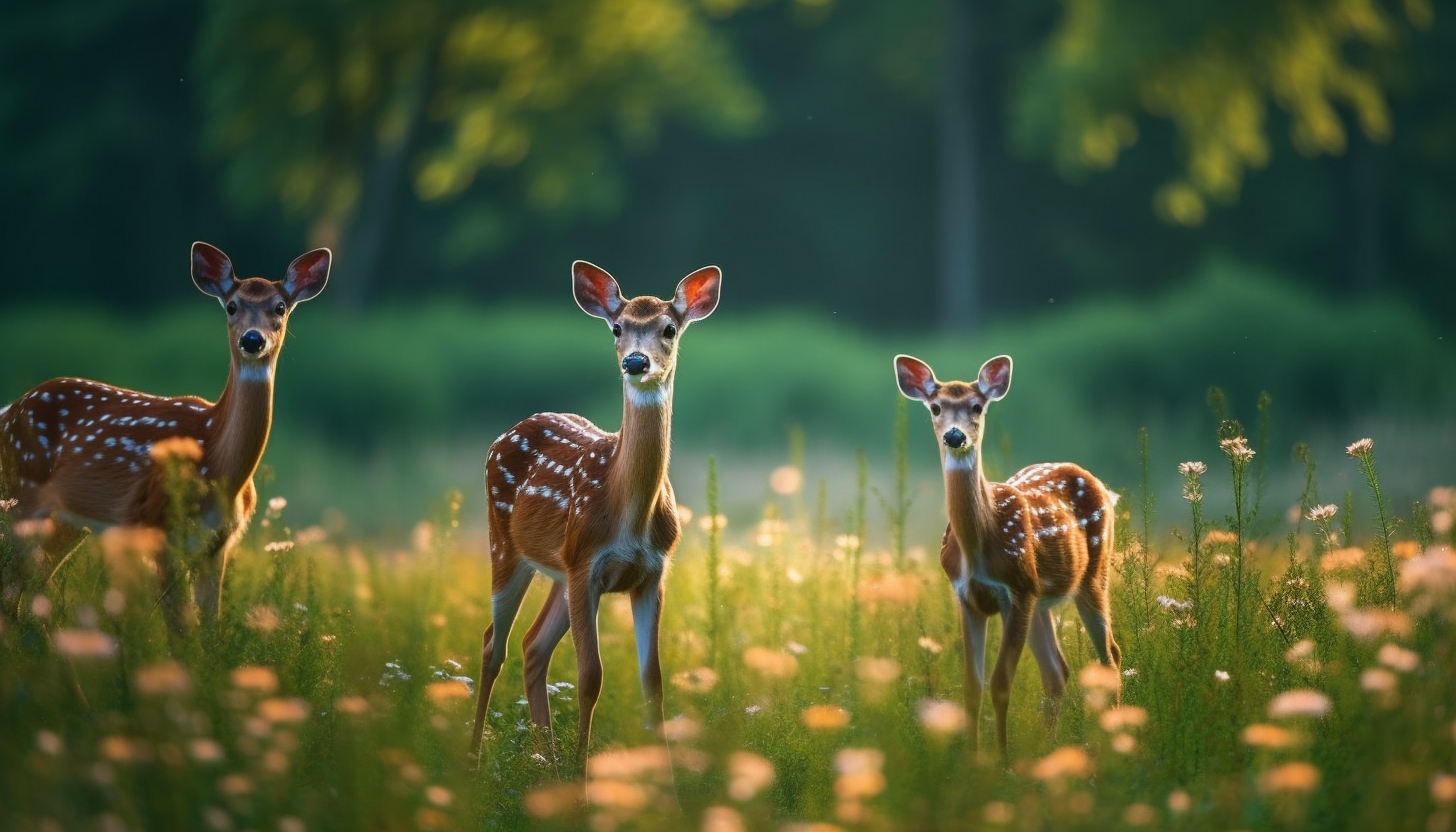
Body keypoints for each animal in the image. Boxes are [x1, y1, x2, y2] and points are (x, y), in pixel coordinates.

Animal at [1, 240, 331, 632]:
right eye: (232, 306)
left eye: (279, 307)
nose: (253, 339)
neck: (217, 462)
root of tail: (9, 410)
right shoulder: (159, 528)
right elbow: (180, 631)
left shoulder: (218, 545)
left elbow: (211, 627)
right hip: (21, 496)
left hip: (66, 521)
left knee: (26, 593)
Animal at [471, 260, 722, 769]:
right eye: (617, 328)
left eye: (669, 329)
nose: (636, 362)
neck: (630, 516)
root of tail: (509, 431)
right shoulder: (586, 564)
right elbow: (591, 677)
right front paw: (582, 777)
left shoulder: (651, 573)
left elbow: (653, 683)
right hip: (507, 545)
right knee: (493, 644)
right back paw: (474, 762)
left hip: (559, 571)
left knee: (532, 646)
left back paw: (543, 760)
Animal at [891, 352, 1118, 763]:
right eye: (935, 407)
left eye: (977, 407)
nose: (954, 436)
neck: (981, 542)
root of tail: (1101, 486)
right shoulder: (967, 597)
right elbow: (972, 686)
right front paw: (972, 761)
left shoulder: (1018, 590)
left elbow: (999, 683)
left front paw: (1002, 761)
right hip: (1043, 600)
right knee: (1057, 672)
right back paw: (1048, 750)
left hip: (1092, 576)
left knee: (1110, 656)